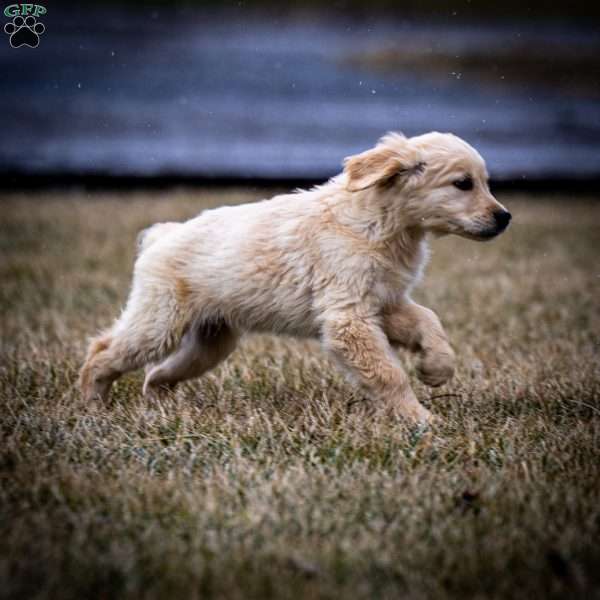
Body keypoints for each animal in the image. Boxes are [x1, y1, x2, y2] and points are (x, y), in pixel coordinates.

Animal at [79, 131, 510, 424]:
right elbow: (389, 374)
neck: (380, 223)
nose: (505, 217)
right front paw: (419, 419)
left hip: (212, 341)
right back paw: (92, 404)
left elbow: (428, 320)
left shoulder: (382, 302)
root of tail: (163, 235)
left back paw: (156, 403)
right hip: (159, 323)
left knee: (158, 372)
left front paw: (437, 368)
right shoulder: (347, 317)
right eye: (463, 184)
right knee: (103, 350)